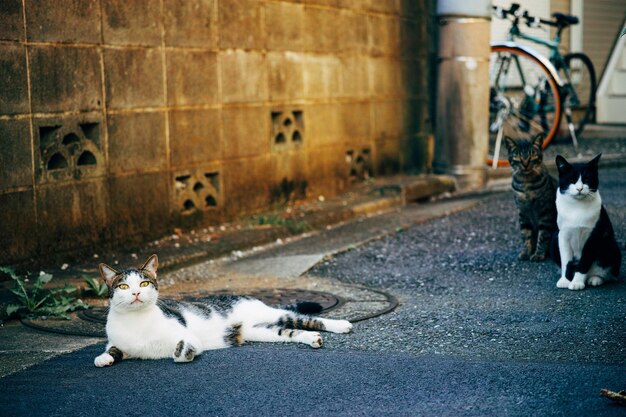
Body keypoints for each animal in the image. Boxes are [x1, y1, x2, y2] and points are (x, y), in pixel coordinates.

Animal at [95, 254, 354, 368]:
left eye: (144, 283)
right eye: (123, 286)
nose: (136, 294)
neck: (136, 321)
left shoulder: (186, 335)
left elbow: (182, 350)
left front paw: (181, 352)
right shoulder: (119, 342)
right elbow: (113, 350)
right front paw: (103, 358)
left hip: (273, 314)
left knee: (308, 319)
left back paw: (341, 325)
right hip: (261, 331)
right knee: (292, 332)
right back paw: (312, 339)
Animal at [552, 154, 620, 290]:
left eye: (587, 179)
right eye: (571, 180)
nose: (579, 188)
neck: (577, 207)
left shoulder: (594, 235)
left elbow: (584, 261)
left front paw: (577, 282)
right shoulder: (562, 235)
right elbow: (566, 260)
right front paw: (565, 280)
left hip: (612, 246)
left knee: (607, 272)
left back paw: (595, 278)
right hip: (553, 239)